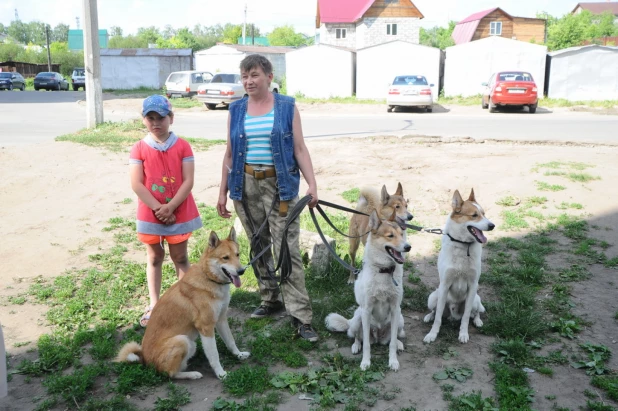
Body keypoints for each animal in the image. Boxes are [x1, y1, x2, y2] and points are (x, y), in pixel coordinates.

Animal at [114, 229, 249, 380]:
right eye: (225, 257)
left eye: (237, 254)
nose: (241, 271)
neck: (209, 278)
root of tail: (145, 360)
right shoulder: (206, 327)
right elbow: (214, 355)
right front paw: (221, 373)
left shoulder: (221, 319)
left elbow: (230, 341)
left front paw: (239, 355)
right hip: (182, 340)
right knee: (171, 374)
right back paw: (193, 374)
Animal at [328, 211, 410, 372]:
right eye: (390, 235)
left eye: (401, 234)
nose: (408, 247)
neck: (384, 271)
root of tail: (378, 337)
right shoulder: (366, 310)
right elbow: (366, 344)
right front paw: (365, 362)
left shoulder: (395, 308)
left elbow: (391, 344)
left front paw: (393, 361)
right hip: (357, 320)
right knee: (357, 337)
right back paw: (355, 346)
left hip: (400, 320)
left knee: (394, 337)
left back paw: (399, 344)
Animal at [422, 190, 494, 344]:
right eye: (474, 215)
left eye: (484, 214)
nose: (492, 225)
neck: (463, 245)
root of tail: (453, 316)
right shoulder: (444, 285)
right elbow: (438, 317)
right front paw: (432, 334)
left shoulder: (473, 285)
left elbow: (466, 317)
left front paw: (463, 334)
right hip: (433, 297)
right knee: (434, 311)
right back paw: (428, 317)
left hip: (476, 299)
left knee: (475, 312)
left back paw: (478, 321)